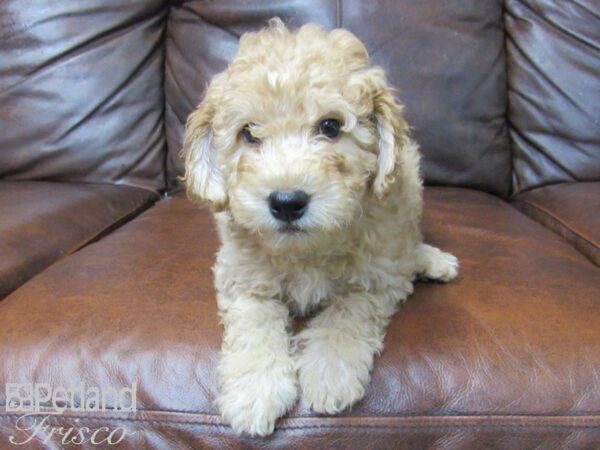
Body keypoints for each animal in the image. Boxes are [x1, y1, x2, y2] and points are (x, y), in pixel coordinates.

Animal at [183, 19, 460, 438]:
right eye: (248, 133)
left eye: (330, 126)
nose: (286, 202)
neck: (307, 249)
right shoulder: (241, 277)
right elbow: (254, 324)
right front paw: (254, 392)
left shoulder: (378, 277)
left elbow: (346, 315)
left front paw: (330, 373)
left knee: (410, 245)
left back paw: (431, 260)